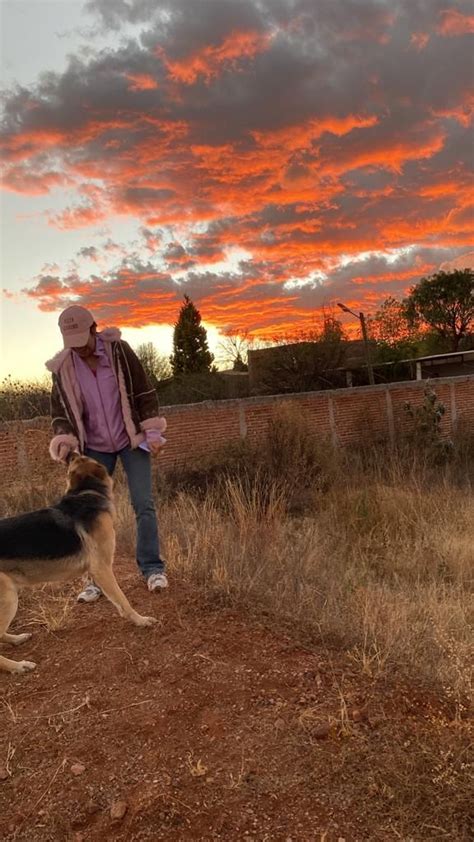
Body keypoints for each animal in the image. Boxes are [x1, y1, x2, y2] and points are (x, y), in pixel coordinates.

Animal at [0, 450, 157, 672]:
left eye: (74, 458)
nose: (70, 452)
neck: (85, 493)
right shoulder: (102, 568)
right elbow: (123, 600)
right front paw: (140, 620)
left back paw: (16, 639)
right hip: (8, 597)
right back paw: (17, 666)